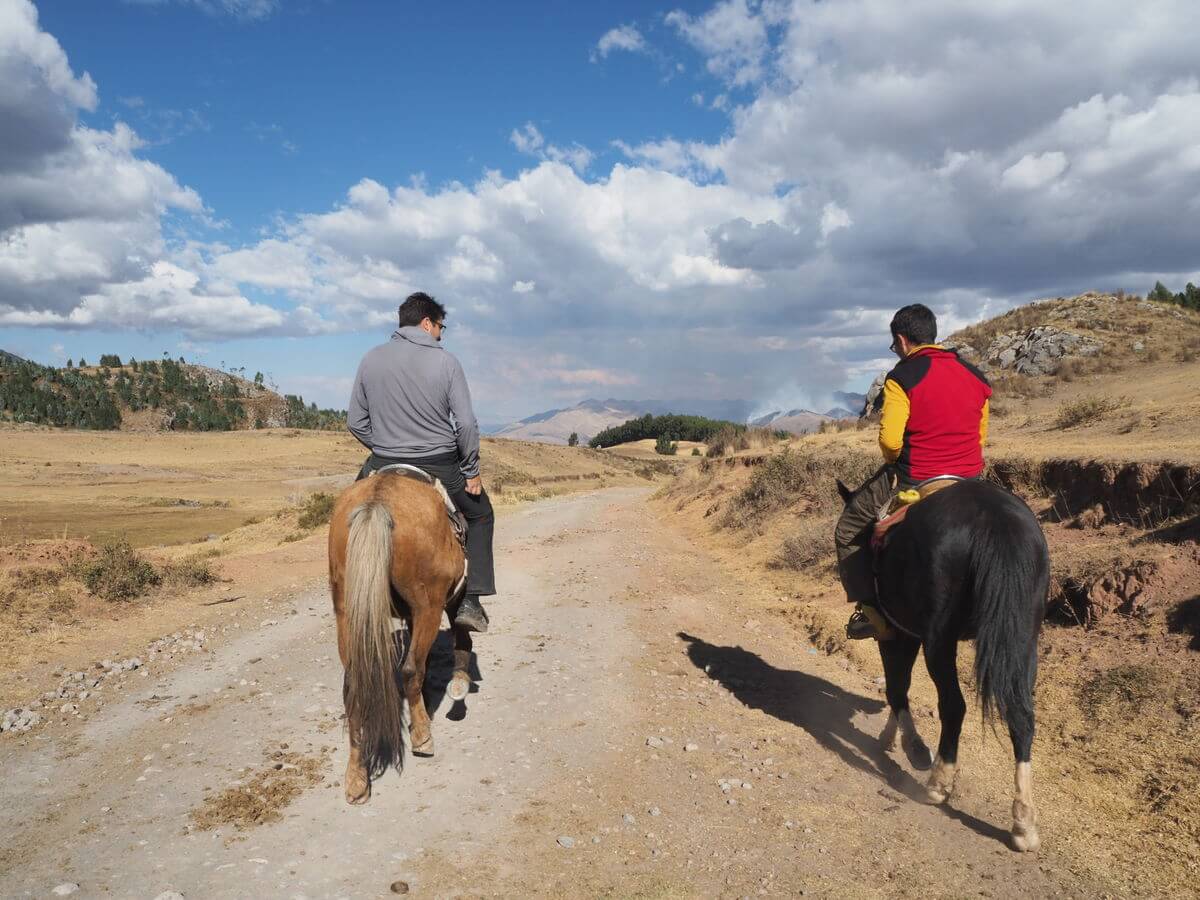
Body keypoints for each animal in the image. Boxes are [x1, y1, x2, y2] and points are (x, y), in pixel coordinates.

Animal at [333, 472, 477, 801]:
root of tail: (377, 501)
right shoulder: (446, 599)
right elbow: (460, 634)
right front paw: (459, 683)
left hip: (346, 612)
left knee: (353, 685)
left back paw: (356, 778)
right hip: (429, 606)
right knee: (411, 668)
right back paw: (422, 737)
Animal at [835, 480, 1051, 854]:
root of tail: (995, 520)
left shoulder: (897, 632)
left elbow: (897, 687)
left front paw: (913, 748)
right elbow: (899, 687)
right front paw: (891, 738)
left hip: (939, 640)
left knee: (953, 706)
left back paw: (937, 782)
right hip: (1023, 636)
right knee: (1021, 715)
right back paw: (1023, 823)